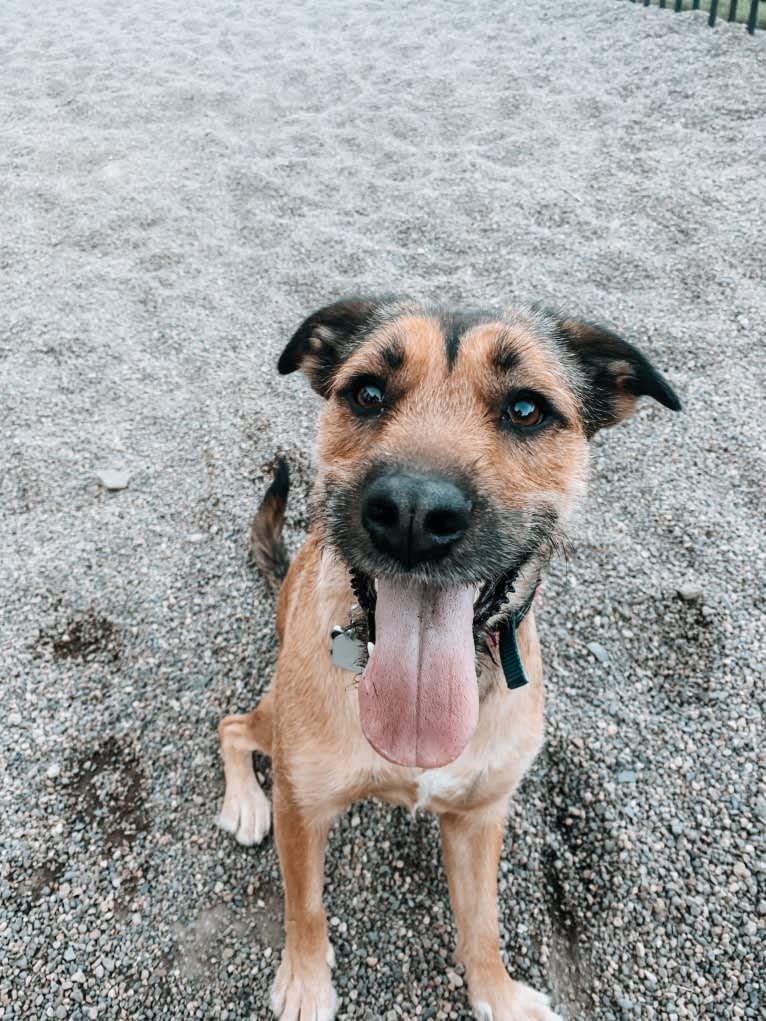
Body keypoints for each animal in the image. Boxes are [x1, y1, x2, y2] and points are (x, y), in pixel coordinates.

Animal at [214, 298, 678, 1021]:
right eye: (367, 393)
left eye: (526, 409)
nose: (412, 512)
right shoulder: (302, 803)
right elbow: (305, 906)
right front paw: (305, 983)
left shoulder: (481, 816)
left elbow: (482, 923)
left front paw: (498, 993)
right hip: (273, 723)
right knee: (232, 726)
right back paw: (243, 803)